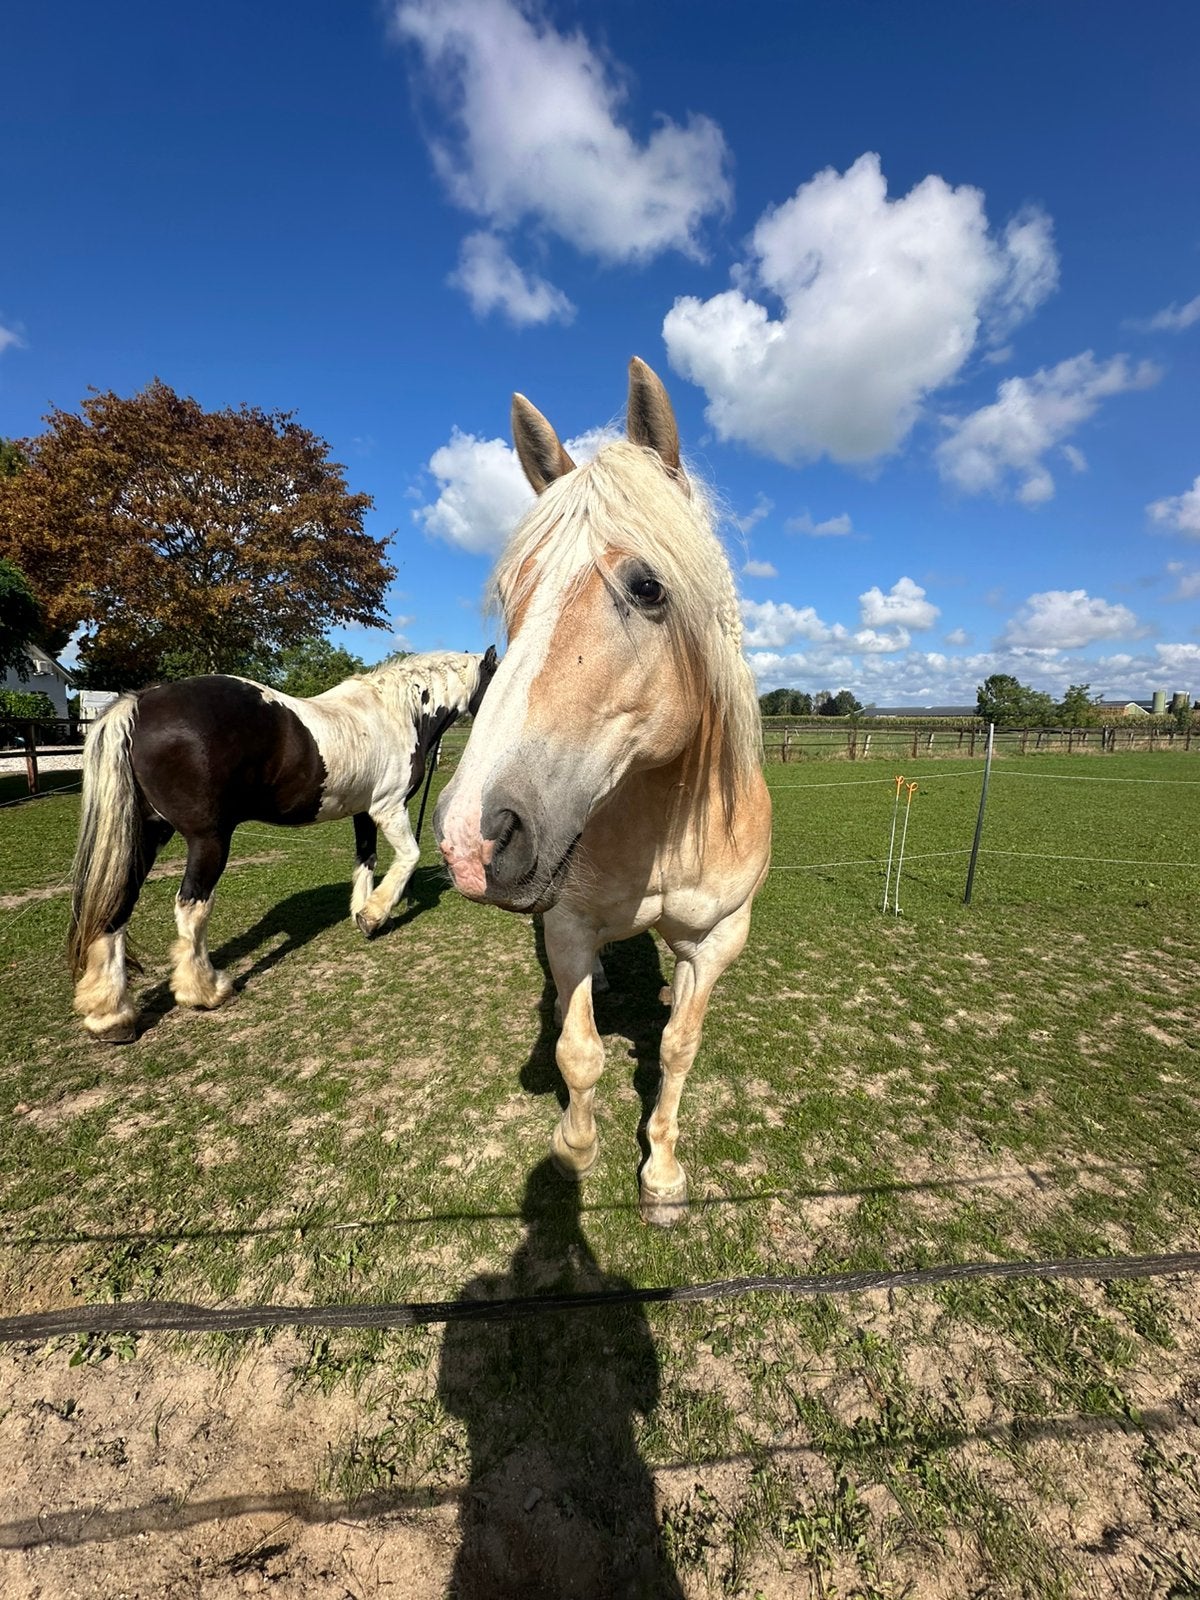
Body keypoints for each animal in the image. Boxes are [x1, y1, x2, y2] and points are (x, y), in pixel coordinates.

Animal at [69, 647, 498, 1043]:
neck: (395, 713)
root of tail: (141, 704)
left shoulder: (363, 812)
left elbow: (367, 860)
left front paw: (363, 914)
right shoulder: (388, 808)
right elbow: (408, 856)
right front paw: (374, 915)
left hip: (147, 833)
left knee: (118, 904)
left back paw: (110, 1015)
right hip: (207, 840)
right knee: (192, 906)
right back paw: (205, 991)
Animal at [435, 359, 772, 1226]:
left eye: (648, 586)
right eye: (512, 596)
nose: (473, 836)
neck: (665, 824)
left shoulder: (718, 939)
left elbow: (679, 1048)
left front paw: (663, 1175)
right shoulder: (567, 924)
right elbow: (578, 1051)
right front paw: (573, 1152)